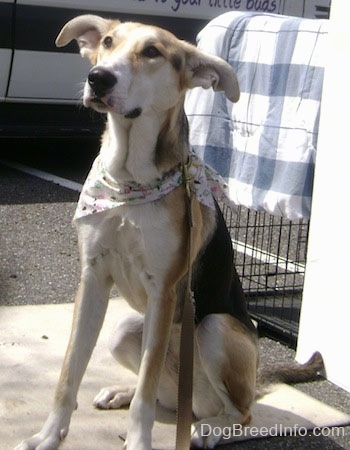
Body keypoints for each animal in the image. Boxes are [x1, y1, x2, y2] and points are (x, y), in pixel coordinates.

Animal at [15, 15, 322, 450]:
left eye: (152, 52)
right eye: (107, 42)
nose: (98, 78)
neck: (128, 180)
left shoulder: (163, 289)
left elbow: (146, 392)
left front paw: (138, 442)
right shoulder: (92, 277)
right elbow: (69, 372)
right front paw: (48, 435)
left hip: (214, 330)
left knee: (238, 412)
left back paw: (210, 429)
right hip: (125, 330)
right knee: (166, 395)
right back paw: (125, 393)